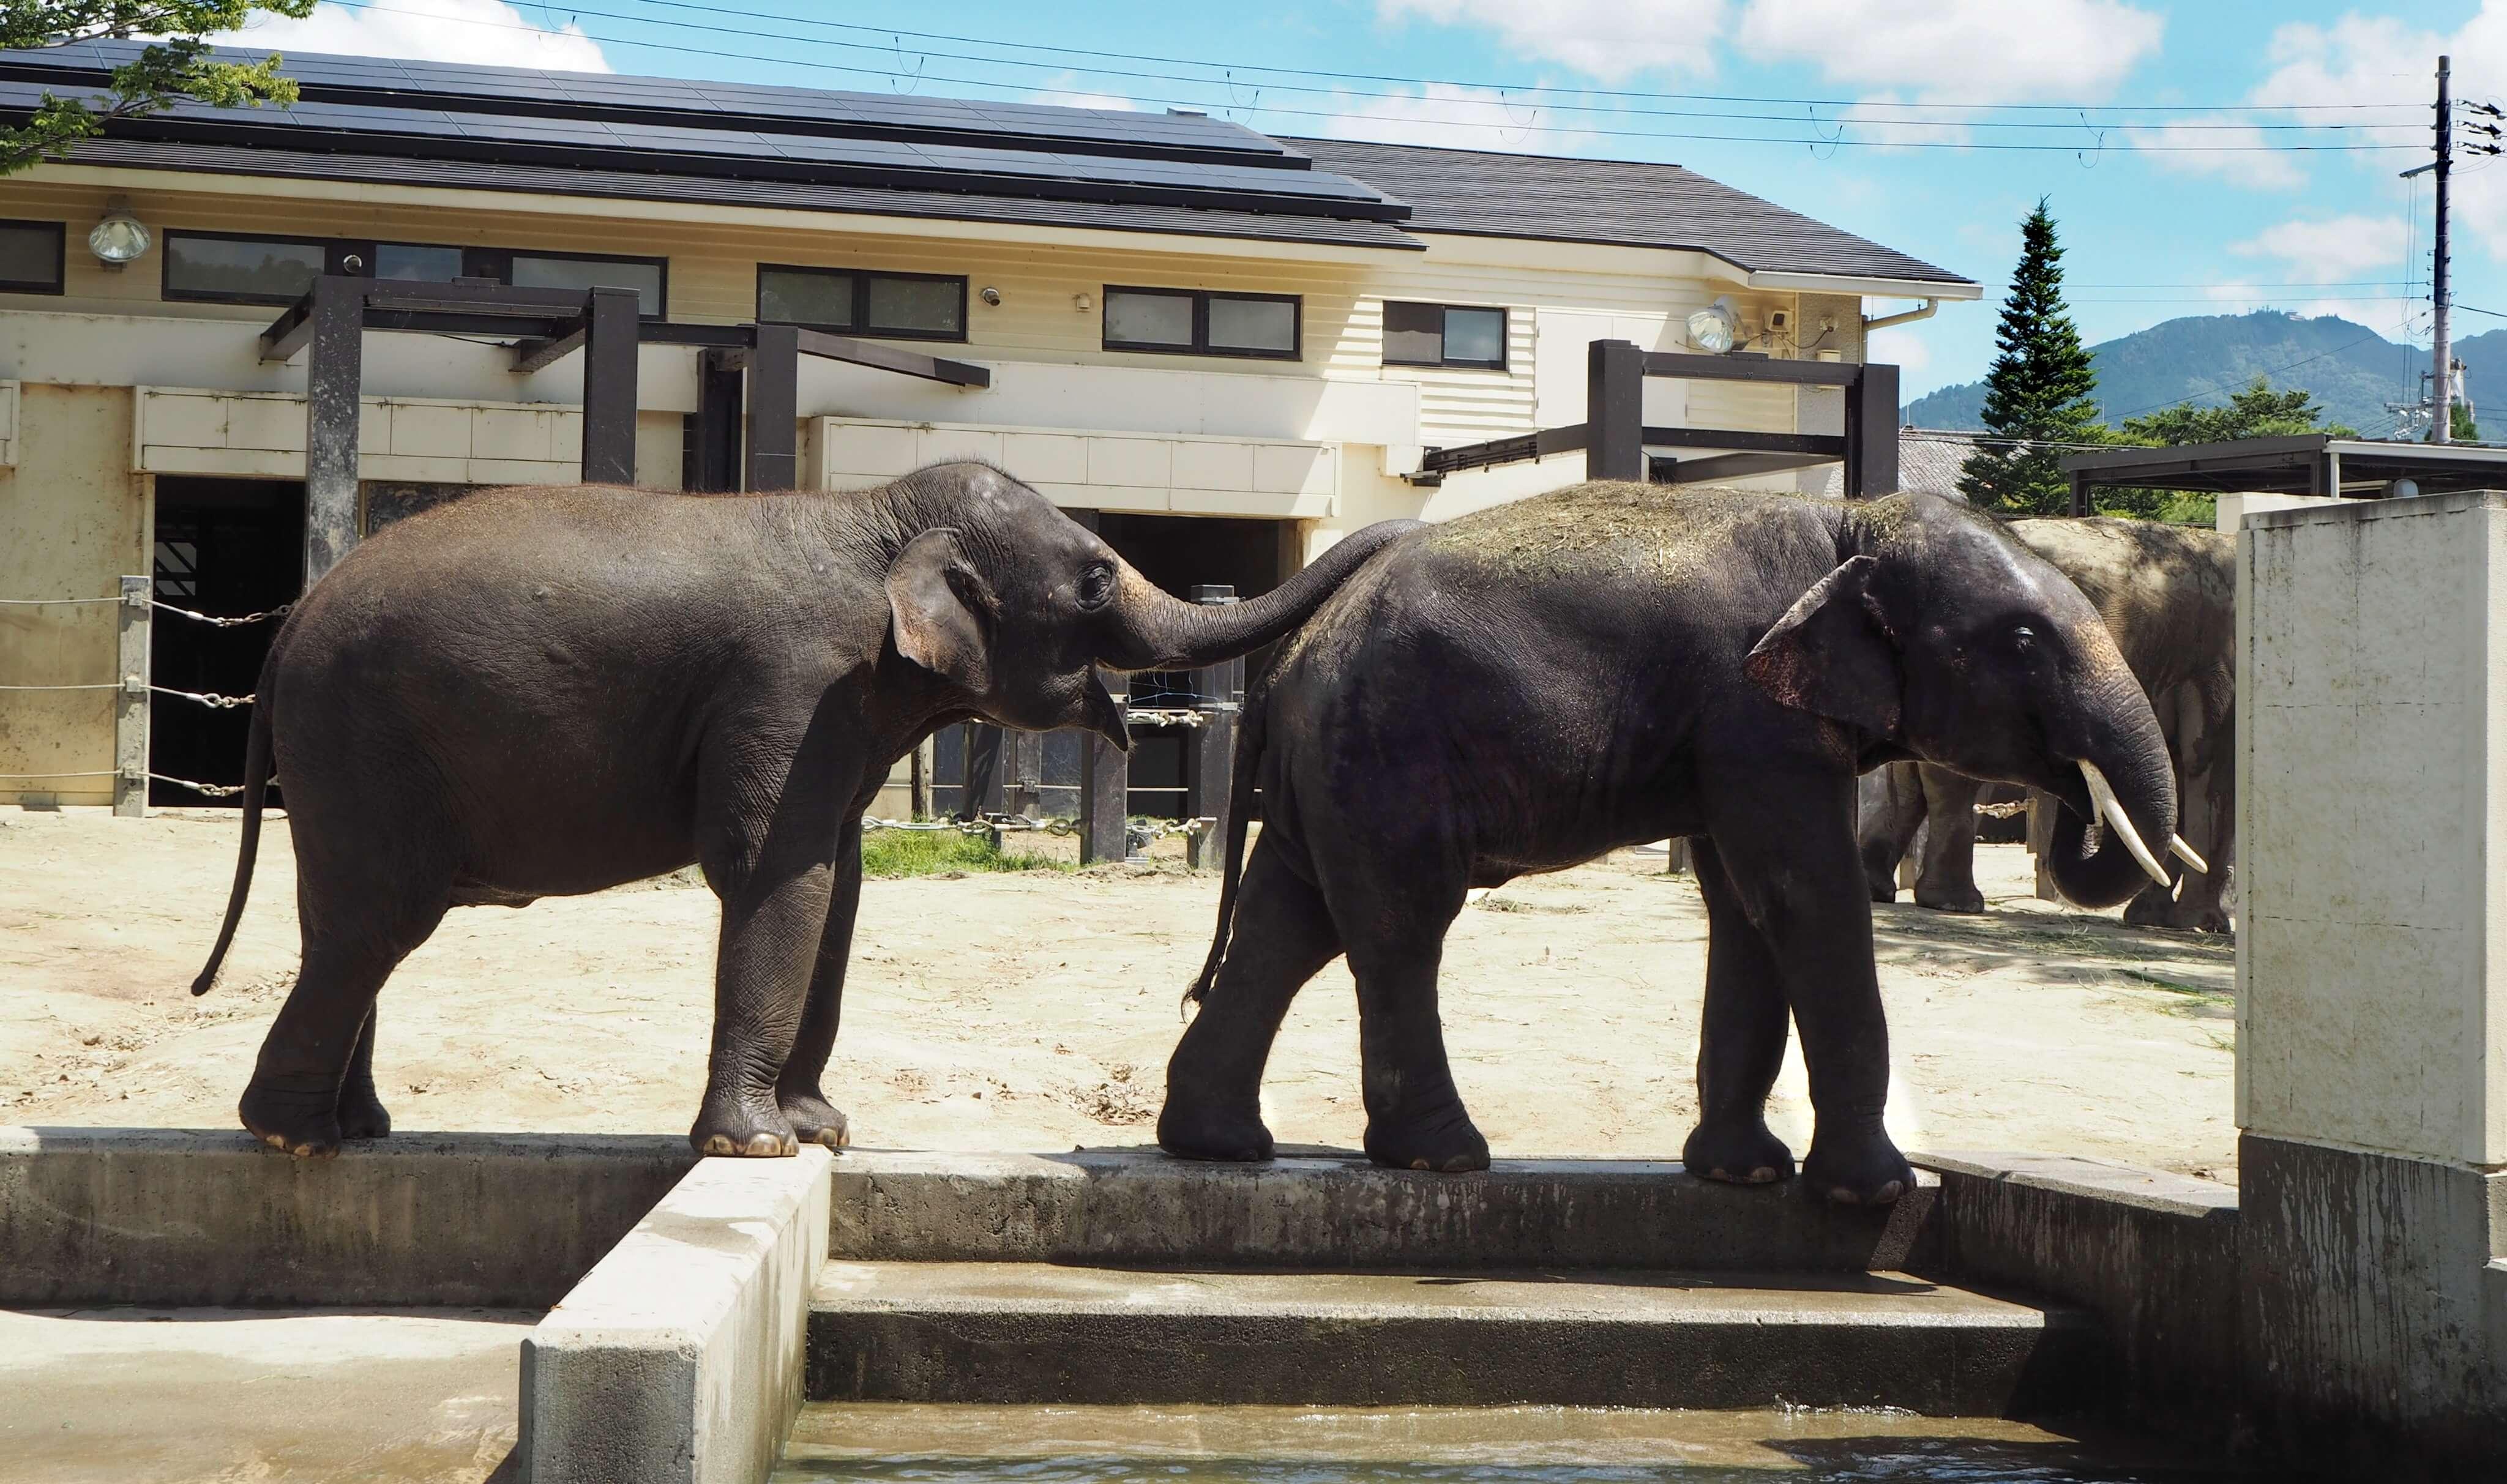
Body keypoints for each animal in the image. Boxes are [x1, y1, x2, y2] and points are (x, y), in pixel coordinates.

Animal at [1153, 486, 2196, 1203]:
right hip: (1387, 756)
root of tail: (1288, 657)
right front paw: (1875, 1192)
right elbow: (1803, 891)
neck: (1852, 525)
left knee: (1294, 921)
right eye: (2022, 642)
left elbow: (1746, 903)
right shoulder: (1751, 712)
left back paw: (1219, 1144)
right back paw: (1441, 1156)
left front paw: (1744, 1175)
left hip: (1337, 771)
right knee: (1400, 925)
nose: (2082, 791)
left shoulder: (1739, 730)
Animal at [1865, 516, 2236, 932]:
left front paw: (2158, 920)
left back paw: (1880, 889)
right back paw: (1954, 904)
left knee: (1907, 782)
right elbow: (2212, 771)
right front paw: (2199, 925)